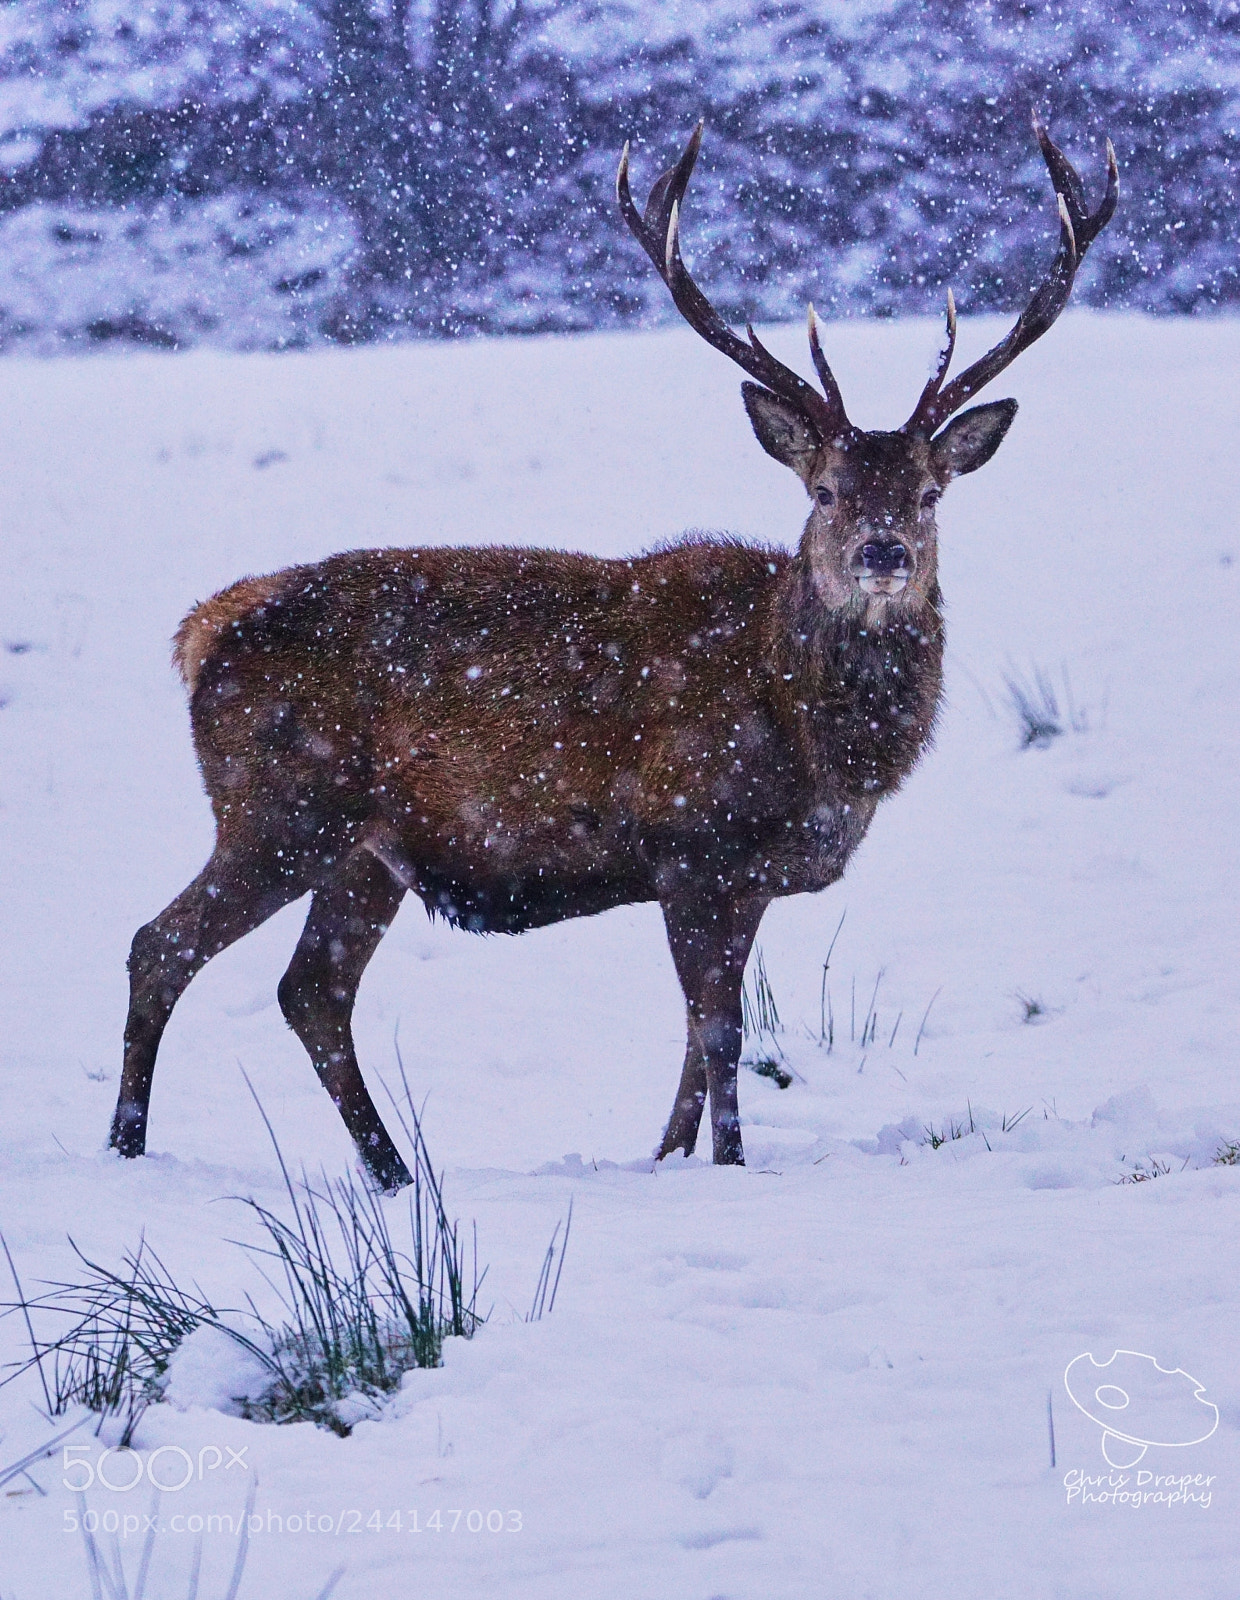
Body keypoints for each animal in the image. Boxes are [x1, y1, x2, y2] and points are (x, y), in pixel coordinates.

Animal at [110, 117, 1117, 1191]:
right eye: (826, 491)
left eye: (930, 493)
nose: (882, 554)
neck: (811, 740)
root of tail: (202, 629)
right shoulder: (690, 848)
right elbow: (720, 1035)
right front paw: (726, 1166)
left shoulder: (747, 881)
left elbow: (695, 1046)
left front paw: (667, 1158)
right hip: (278, 806)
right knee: (162, 944)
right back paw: (128, 1148)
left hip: (364, 850)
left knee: (312, 992)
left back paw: (396, 1173)